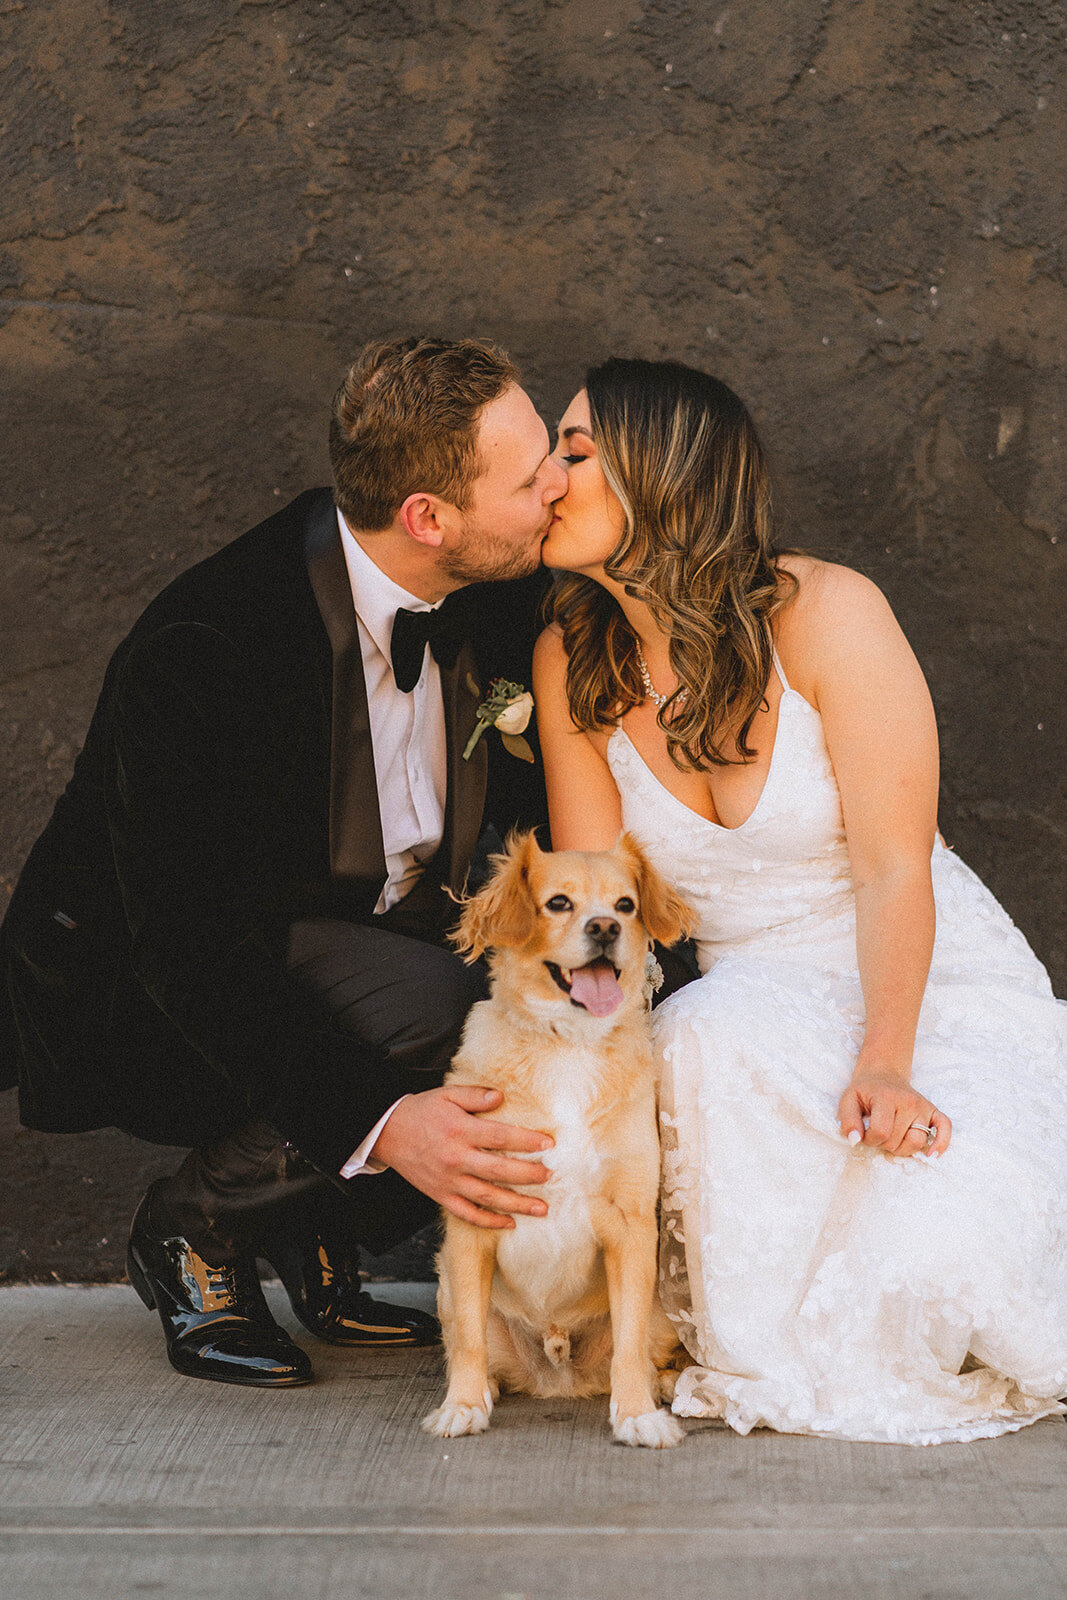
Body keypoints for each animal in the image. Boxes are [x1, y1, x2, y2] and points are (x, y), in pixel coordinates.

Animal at [422, 825, 697, 1452]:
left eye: (626, 905)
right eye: (558, 903)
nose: (606, 928)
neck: (570, 1043)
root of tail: (557, 1375)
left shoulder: (631, 1225)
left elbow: (628, 1345)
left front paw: (637, 1414)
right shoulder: (471, 1222)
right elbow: (468, 1341)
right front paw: (462, 1405)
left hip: (662, 1308)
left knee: (644, 1354)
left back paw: (669, 1385)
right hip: (448, 1283)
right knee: (472, 1345)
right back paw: (483, 1389)